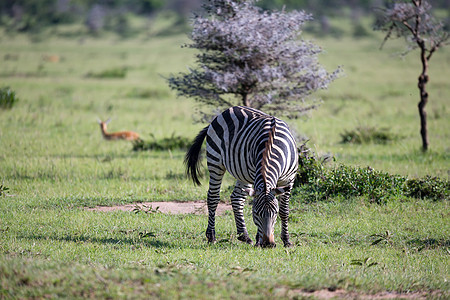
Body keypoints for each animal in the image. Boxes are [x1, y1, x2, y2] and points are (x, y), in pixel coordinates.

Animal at [185, 106, 298, 247]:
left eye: (275, 213)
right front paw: (258, 241)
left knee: (236, 198)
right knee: (213, 197)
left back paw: (244, 236)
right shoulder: (256, 175)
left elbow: (285, 210)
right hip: (215, 161)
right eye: (256, 213)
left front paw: (286, 240)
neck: (271, 146)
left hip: (243, 173)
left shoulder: (289, 180)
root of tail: (227, 110)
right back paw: (211, 236)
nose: (268, 244)